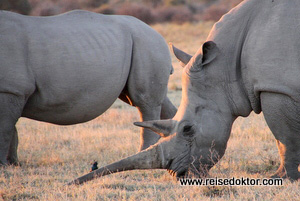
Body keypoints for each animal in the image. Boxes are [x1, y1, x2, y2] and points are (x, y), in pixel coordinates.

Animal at [0, 10, 178, 166]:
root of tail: (156, 32)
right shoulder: (13, 91)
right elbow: (11, 129)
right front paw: (13, 164)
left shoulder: (11, 89)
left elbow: (5, 128)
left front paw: (3, 165)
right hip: (143, 44)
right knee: (157, 102)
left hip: (147, 43)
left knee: (145, 102)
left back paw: (143, 155)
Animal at [68, 0, 300, 184]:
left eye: (187, 129)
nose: (179, 175)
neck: (224, 65)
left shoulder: (276, 88)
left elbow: (283, 137)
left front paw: (281, 178)